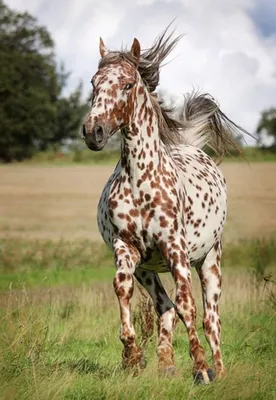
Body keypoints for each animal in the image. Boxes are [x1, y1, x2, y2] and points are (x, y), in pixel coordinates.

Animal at [83, 28, 249, 384]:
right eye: (94, 83)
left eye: (127, 84)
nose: (93, 132)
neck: (141, 180)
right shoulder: (127, 248)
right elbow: (123, 290)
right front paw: (132, 357)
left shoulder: (176, 249)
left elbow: (189, 306)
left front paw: (200, 368)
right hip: (148, 270)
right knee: (165, 306)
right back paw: (166, 363)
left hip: (210, 260)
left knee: (210, 319)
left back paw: (219, 370)